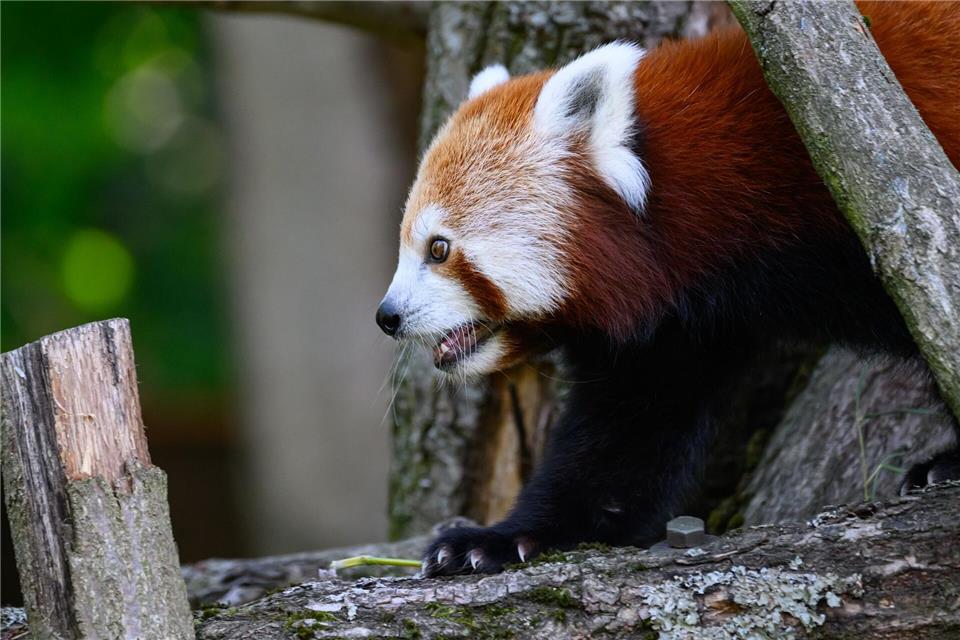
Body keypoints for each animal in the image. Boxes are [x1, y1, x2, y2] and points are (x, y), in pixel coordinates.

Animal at [375, 1, 960, 576]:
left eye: (439, 249)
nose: (387, 316)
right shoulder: (679, 325)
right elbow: (625, 440)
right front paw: (501, 539)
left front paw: (948, 463)